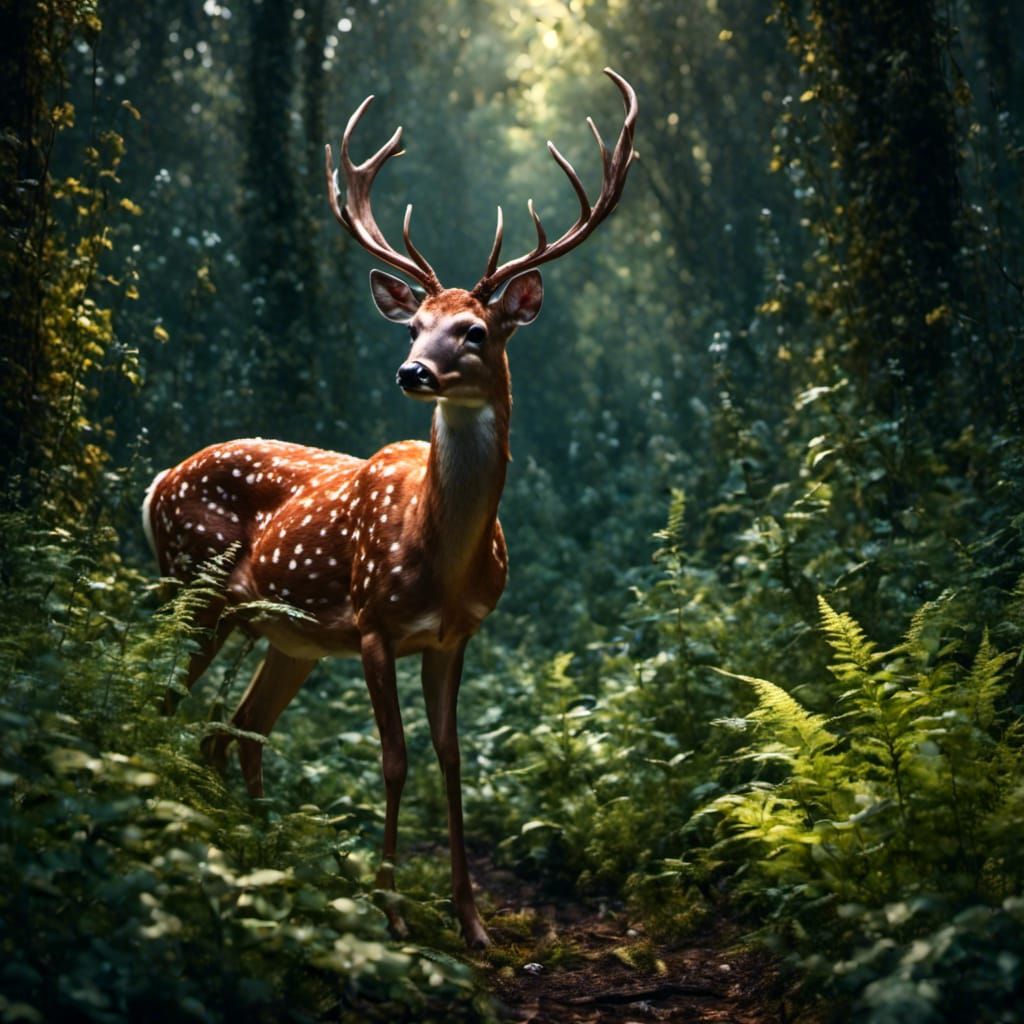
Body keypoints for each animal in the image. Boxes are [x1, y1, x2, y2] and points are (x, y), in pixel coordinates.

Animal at [142, 69, 637, 947]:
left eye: (475, 331)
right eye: (414, 325)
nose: (413, 372)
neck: (441, 558)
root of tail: (157, 481)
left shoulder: (456, 634)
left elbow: (451, 755)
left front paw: (471, 922)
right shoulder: (373, 622)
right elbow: (395, 758)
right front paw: (392, 910)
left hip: (287, 637)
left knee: (230, 731)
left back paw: (255, 853)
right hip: (194, 589)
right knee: (165, 703)